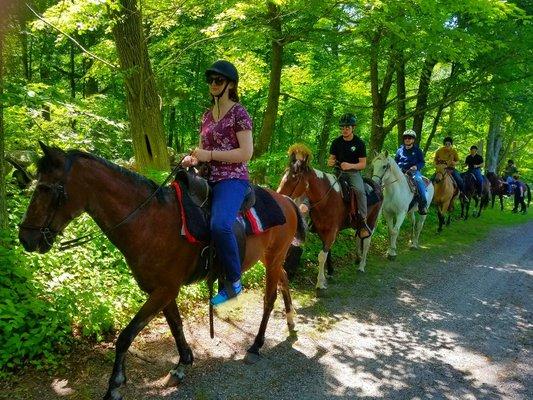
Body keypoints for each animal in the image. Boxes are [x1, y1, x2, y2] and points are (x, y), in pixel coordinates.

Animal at [18, 143, 304, 400]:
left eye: (46, 189)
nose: (26, 239)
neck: (149, 221)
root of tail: (286, 200)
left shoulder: (163, 290)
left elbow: (126, 335)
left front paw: (115, 385)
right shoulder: (162, 290)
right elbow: (175, 325)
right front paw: (182, 364)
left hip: (273, 257)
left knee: (269, 298)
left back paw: (256, 345)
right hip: (270, 259)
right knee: (284, 278)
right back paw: (290, 321)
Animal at [274, 144, 382, 290]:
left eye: (295, 177)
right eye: (284, 174)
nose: (278, 197)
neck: (327, 198)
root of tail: (377, 186)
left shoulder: (332, 231)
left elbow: (321, 256)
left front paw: (320, 282)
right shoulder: (322, 230)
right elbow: (327, 252)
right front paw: (329, 273)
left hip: (371, 221)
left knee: (366, 242)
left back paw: (361, 266)